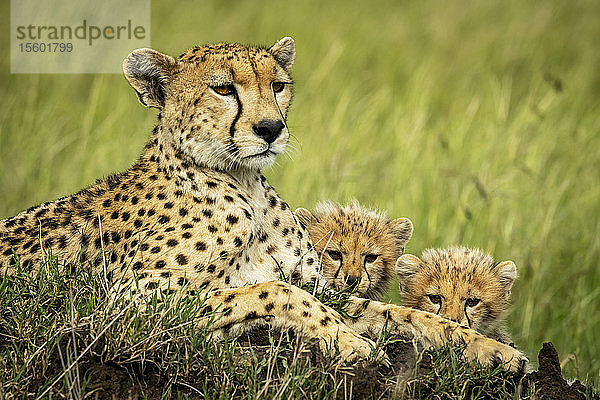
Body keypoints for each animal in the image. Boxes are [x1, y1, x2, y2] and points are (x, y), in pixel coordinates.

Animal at [0, 38, 524, 372]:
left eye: (278, 85)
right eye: (223, 88)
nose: (271, 128)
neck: (243, 182)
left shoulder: (326, 283)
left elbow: (405, 314)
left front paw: (494, 350)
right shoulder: (129, 305)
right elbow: (277, 291)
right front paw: (351, 341)